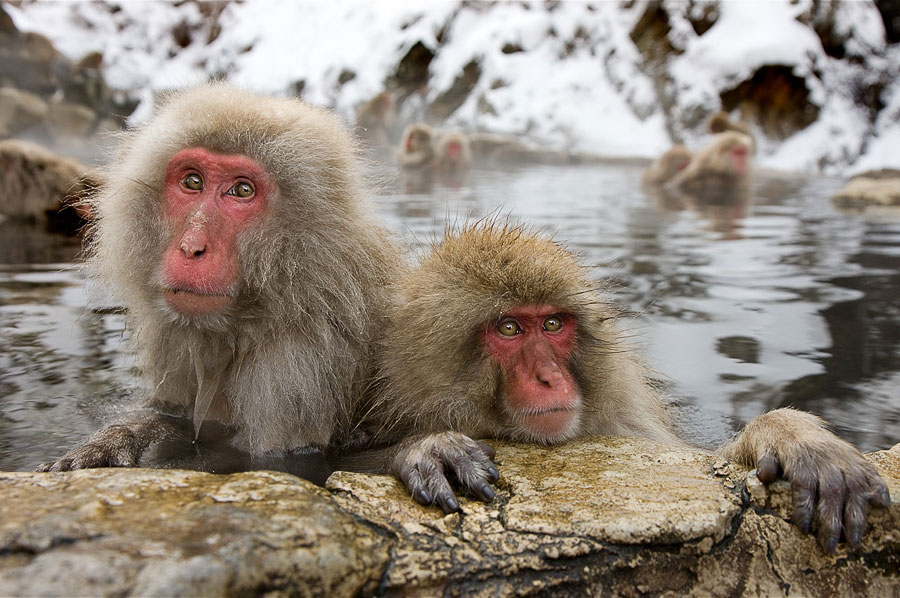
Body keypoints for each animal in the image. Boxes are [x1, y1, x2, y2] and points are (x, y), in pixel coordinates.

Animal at [37, 83, 398, 474]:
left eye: (242, 190)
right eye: (192, 181)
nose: (191, 246)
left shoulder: (297, 367)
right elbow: (172, 415)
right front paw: (111, 440)